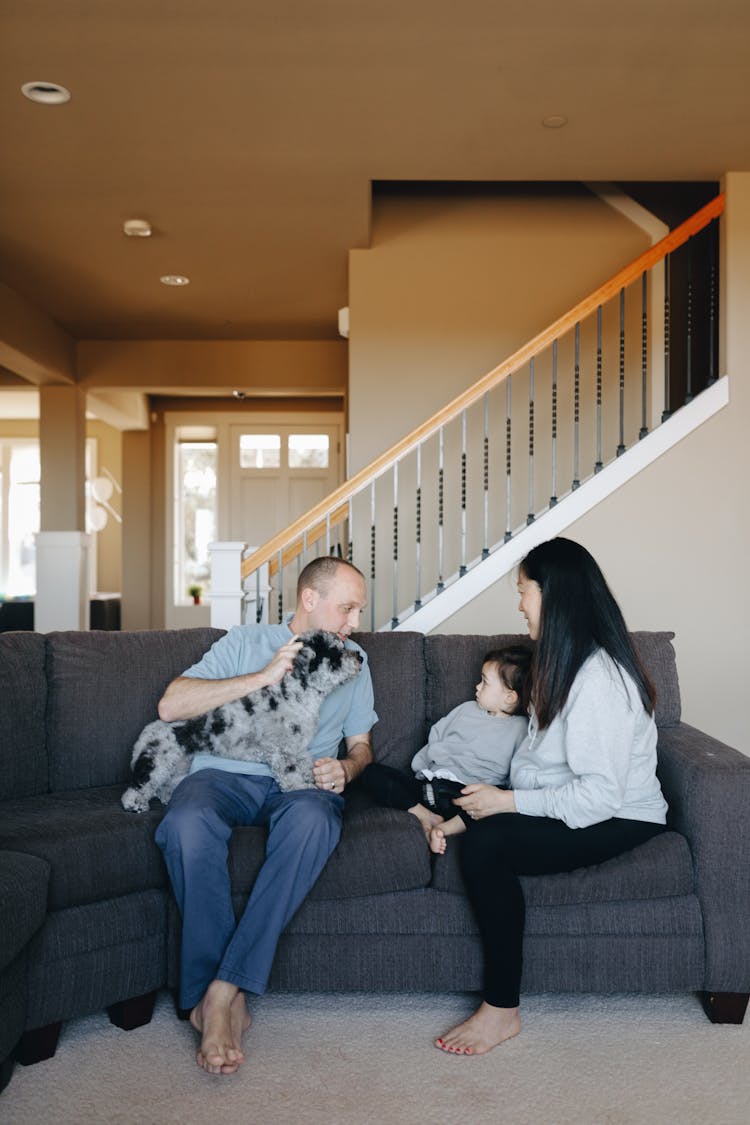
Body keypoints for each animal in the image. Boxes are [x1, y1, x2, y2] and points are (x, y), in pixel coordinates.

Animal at [120, 630, 359, 814]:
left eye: (343, 645)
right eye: (335, 653)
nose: (360, 657)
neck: (296, 696)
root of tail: (148, 730)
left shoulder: (298, 749)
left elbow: (305, 765)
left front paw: (310, 780)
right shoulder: (282, 751)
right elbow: (291, 775)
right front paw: (301, 788)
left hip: (178, 765)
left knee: (162, 787)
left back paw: (167, 796)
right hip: (155, 761)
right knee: (138, 787)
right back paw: (135, 804)